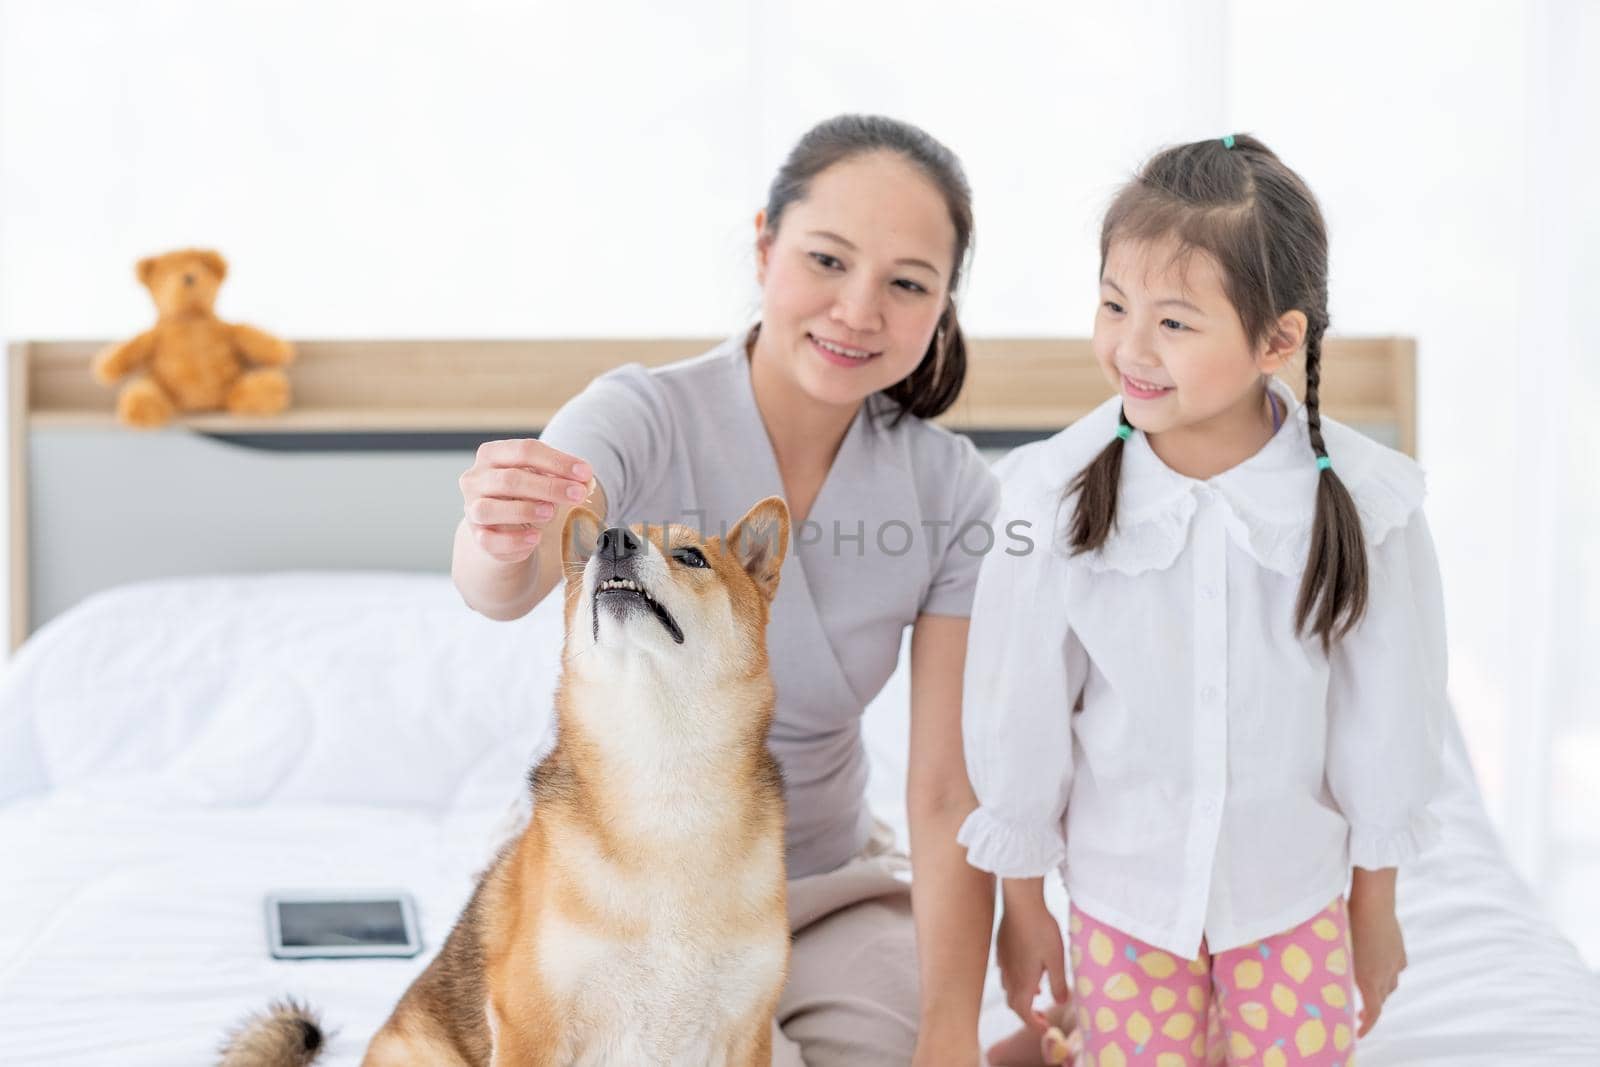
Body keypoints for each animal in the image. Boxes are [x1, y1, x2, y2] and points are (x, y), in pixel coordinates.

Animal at [222, 499, 796, 1067]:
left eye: (690, 556)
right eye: (598, 546)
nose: (611, 541)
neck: (662, 778)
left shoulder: (748, 1034)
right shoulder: (529, 1022)